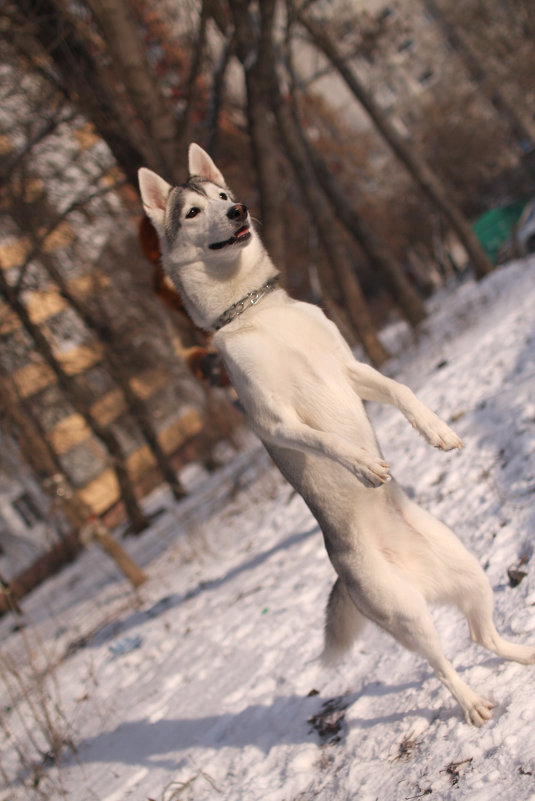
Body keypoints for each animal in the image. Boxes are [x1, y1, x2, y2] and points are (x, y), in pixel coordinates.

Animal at [139, 144, 535, 724]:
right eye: (192, 212)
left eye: (224, 194)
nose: (239, 210)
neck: (255, 311)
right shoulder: (273, 419)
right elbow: (327, 440)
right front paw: (363, 465)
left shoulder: (347, 368)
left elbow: (399, 389)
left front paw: (436, 430)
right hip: (406, 612)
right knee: (443, 663)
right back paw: (471, 703)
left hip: (468, 573)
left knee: (485, 637)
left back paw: (528, 654)